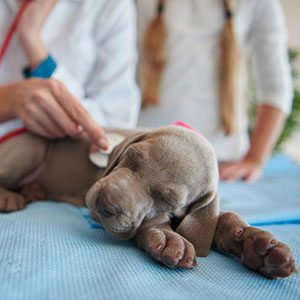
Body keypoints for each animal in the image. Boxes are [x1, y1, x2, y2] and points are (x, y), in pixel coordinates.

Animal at [0, 125, 296, 278]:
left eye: (167, 198)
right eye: (131, 157)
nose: (104, 204)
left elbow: (219, 218)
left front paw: (256, 245)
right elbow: (149, 225)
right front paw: (168, 238)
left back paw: (33, 191)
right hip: (29, 149)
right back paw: (10, 196)